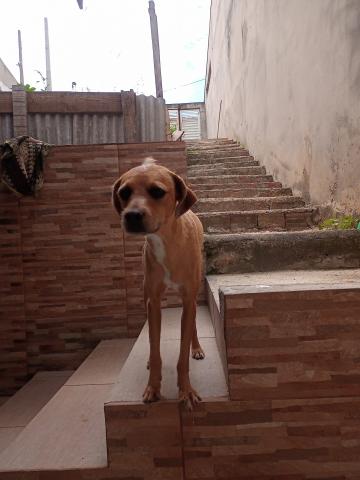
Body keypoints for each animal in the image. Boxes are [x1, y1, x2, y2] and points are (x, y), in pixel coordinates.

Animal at [112, 158, 202, 408]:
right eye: (124, 193)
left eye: (158, 191)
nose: (131, 215)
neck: (166, 242)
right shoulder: (153, 302)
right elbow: (154, 347)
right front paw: (153, 386)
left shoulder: (189, 299)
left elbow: (182, 354)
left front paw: (186, 390)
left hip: (194, 295)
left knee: (193, 323)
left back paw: (196, 348)